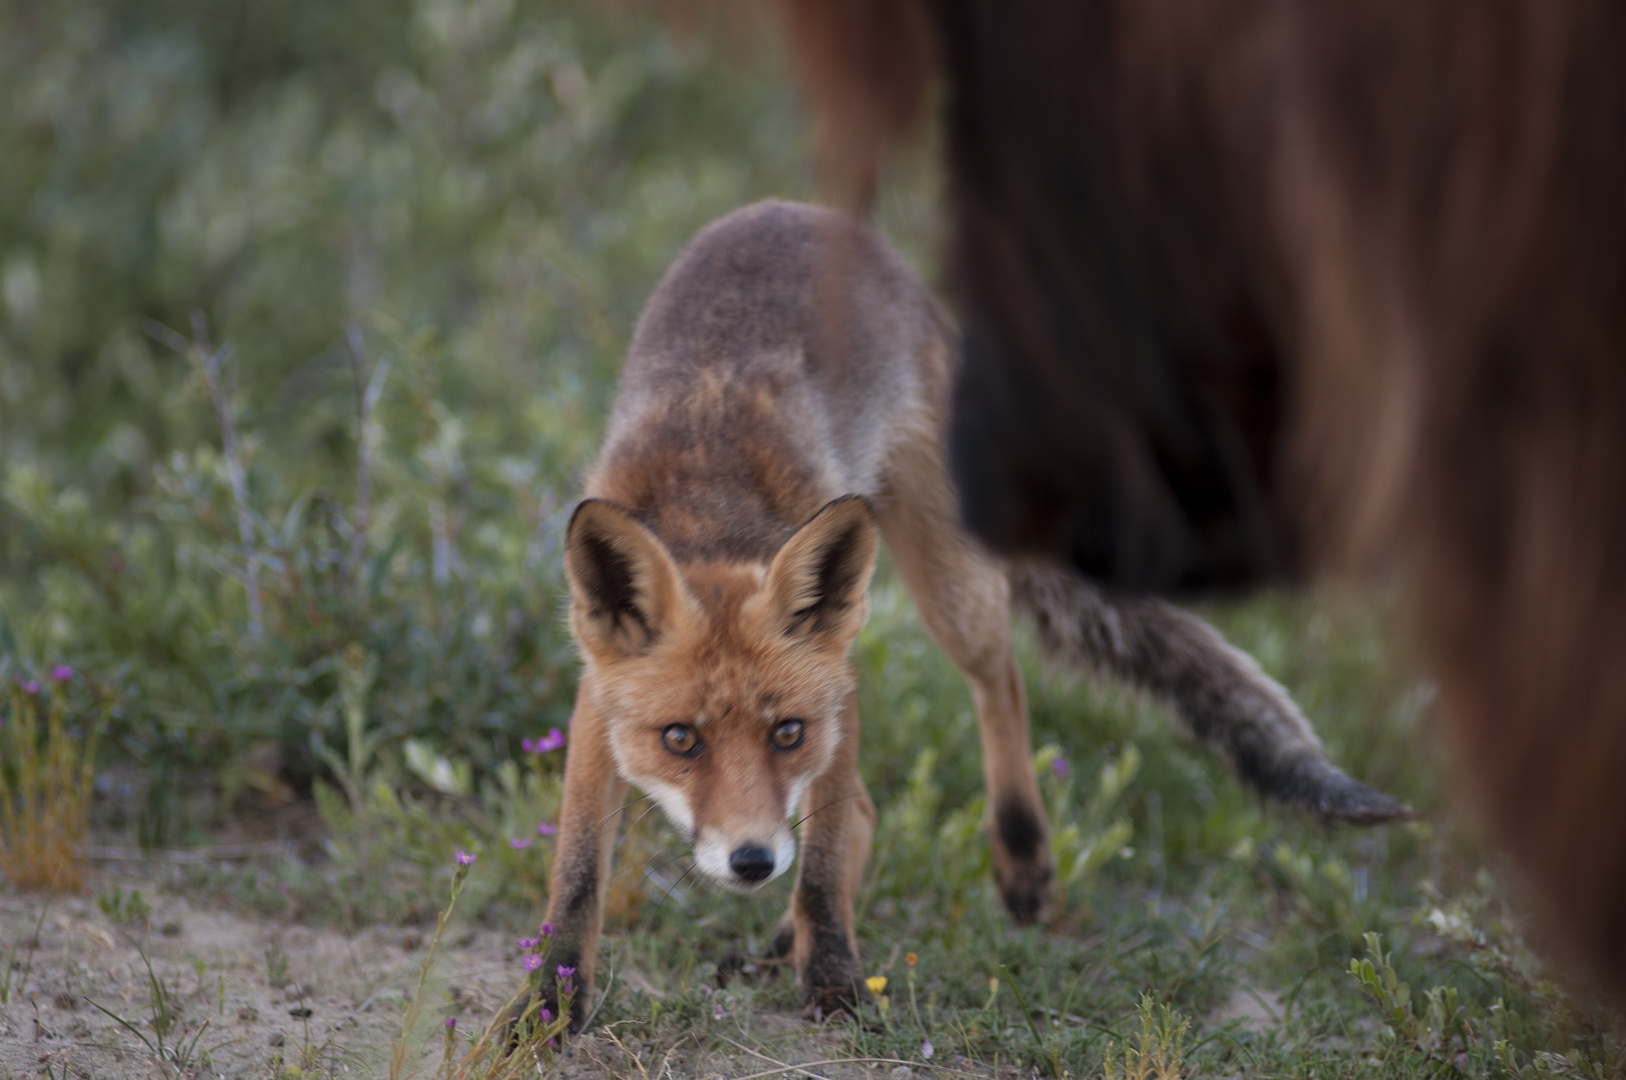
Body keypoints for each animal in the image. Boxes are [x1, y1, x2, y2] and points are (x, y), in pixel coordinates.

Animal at [533, 200, 1398, 1021]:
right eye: (679, 739)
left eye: (786, 733)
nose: (751, 861)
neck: (708, 518)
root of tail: (834, 225)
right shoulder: (597, 705)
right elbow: (576, 876)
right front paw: (548, 1008)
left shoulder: (832, 698)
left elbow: (820, 867)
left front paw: (834, 979)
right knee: (868, 809)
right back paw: (784, 942)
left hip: (948, 587)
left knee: (997, 682)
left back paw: (1020, 853)